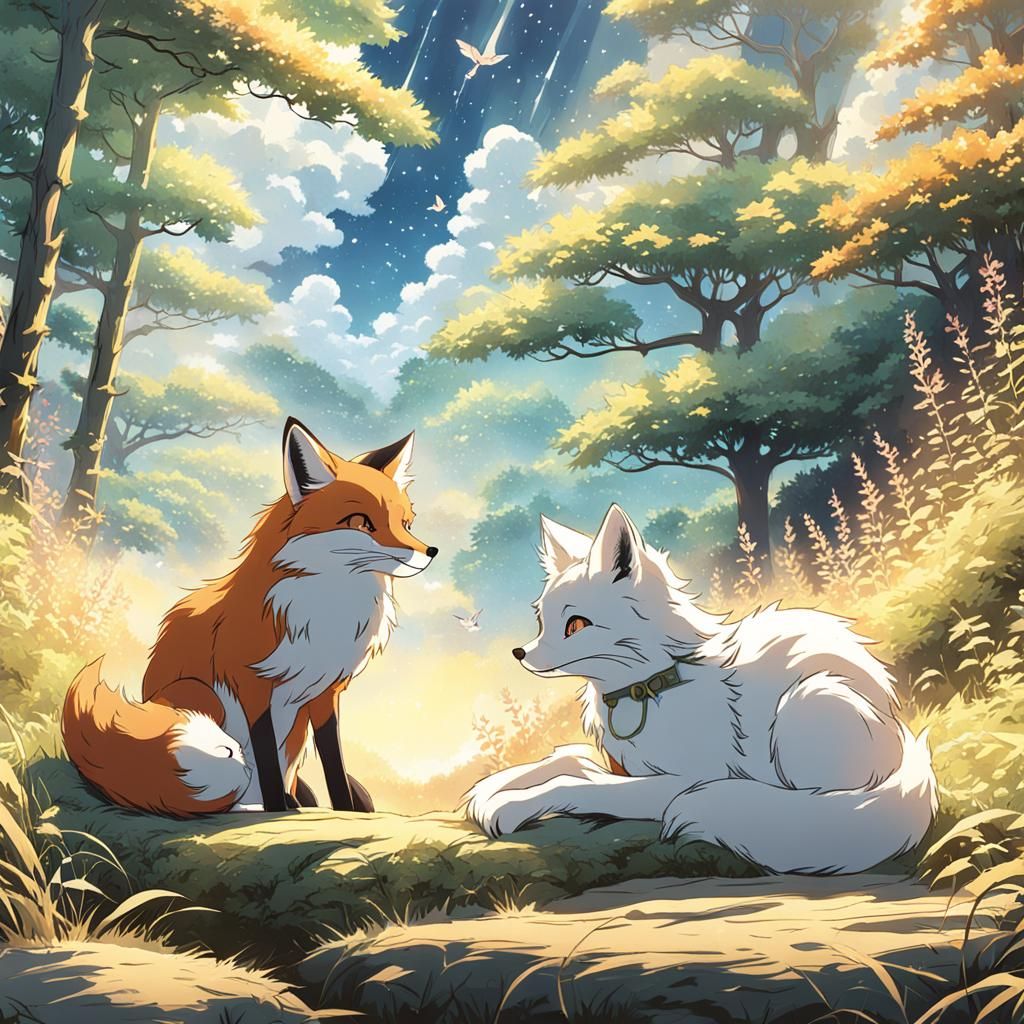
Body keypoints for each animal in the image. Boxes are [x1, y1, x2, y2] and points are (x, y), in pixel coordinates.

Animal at [62, 418, 437, 817]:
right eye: (360, 522)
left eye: (406, 523)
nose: (430, 551)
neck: (327, 609)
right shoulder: (251, 682)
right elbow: (266, 755)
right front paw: (278, 809)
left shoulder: (326, 691)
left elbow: (333, 760)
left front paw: (345, 811)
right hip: (198, 693)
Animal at [465, 504, 937, 874]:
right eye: (542, 622)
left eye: (576, 625)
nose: (519, 653)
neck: (648, 689)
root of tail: (901, 736)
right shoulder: (623, 765)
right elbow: (570, 759)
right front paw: (494, 787)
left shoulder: (679, 781)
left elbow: (577, 784)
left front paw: (513, 804)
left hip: (806, 703)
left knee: (811, 803)